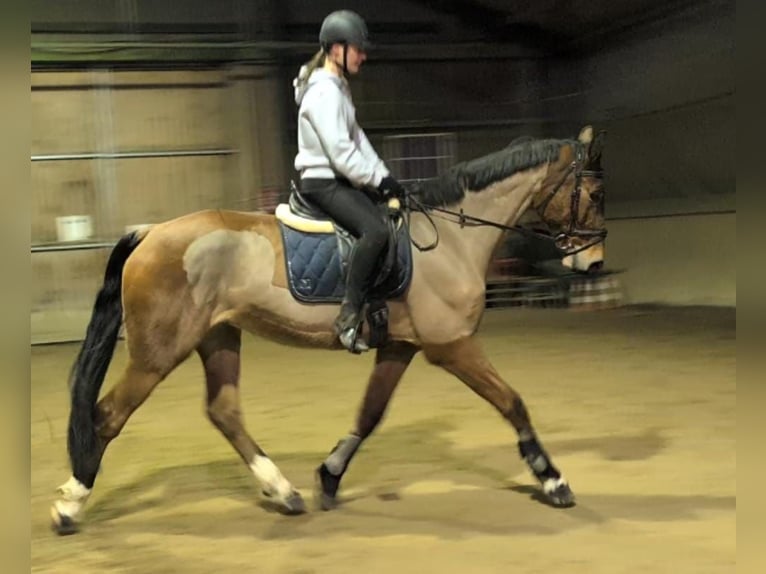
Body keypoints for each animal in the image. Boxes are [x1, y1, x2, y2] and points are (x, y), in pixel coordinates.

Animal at [50, 125, 607, 534]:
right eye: (594, 191)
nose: (594, 262)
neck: (450, 237)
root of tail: (150, 233)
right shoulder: (451, 346)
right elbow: (512, 402)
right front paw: (553, 480)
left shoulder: (401, 346)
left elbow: (370, 413)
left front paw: (329, 477)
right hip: (159, 351)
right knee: (107, 415)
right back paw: (71, 505)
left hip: (217, 336)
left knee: (224, 412)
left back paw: (284, 492)